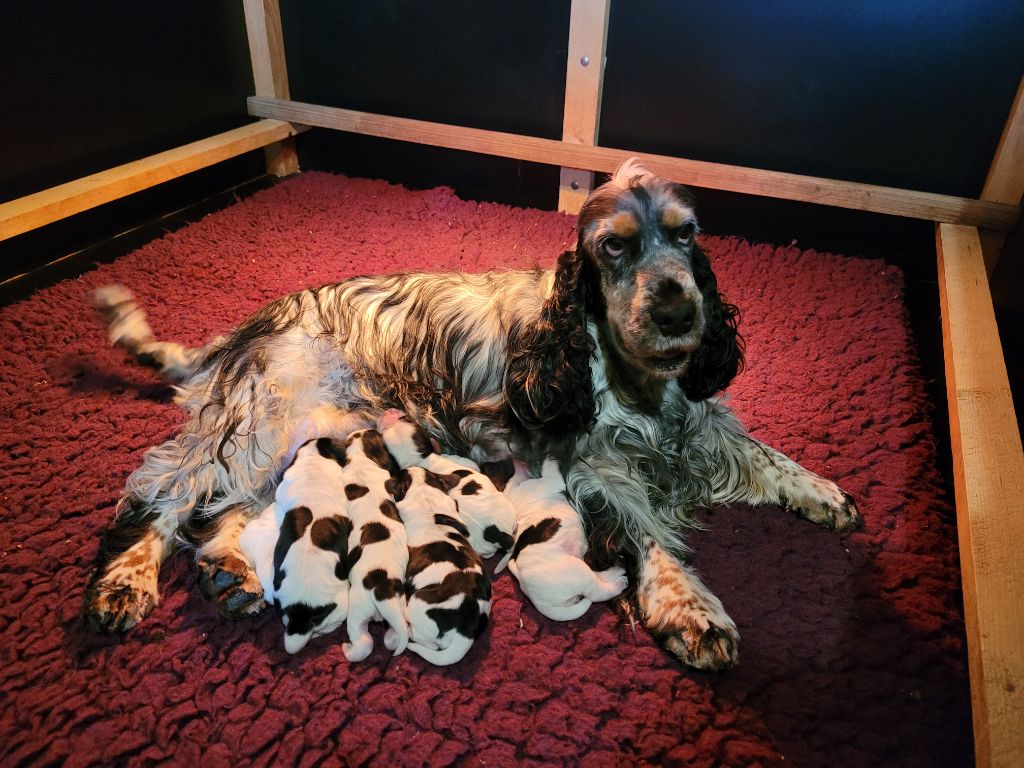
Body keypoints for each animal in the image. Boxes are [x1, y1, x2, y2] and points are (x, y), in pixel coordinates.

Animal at [335, 430, 407, 663]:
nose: (369, 428)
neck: (361, 457)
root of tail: (381, 589)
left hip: (357, 610)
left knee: (362, 641)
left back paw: (347, 649)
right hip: (400, 607)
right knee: (394, 634)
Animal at [499, 460, 626, 622]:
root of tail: (538, 602)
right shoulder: (550, 480)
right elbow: (550, 468)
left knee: (597, 578)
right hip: (577, 571)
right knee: (597, 592)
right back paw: (619, 581)